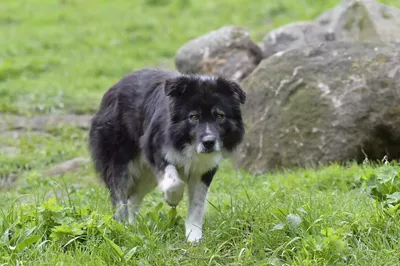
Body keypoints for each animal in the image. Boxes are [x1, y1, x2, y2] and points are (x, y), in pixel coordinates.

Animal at [88, 67, 245, 242]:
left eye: (219, 116)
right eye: (193, 117)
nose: (209, 142)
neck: (186, 143)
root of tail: (113, 89)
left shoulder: (204, 168)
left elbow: (197, 204)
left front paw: (194, 237)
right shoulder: (154, 148)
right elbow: (174, 181)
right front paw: (173, 199)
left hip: (147, 175)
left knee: (134, 197)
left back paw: (133, 226)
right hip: (118, 157)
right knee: (119, 195)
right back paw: (122, 227)